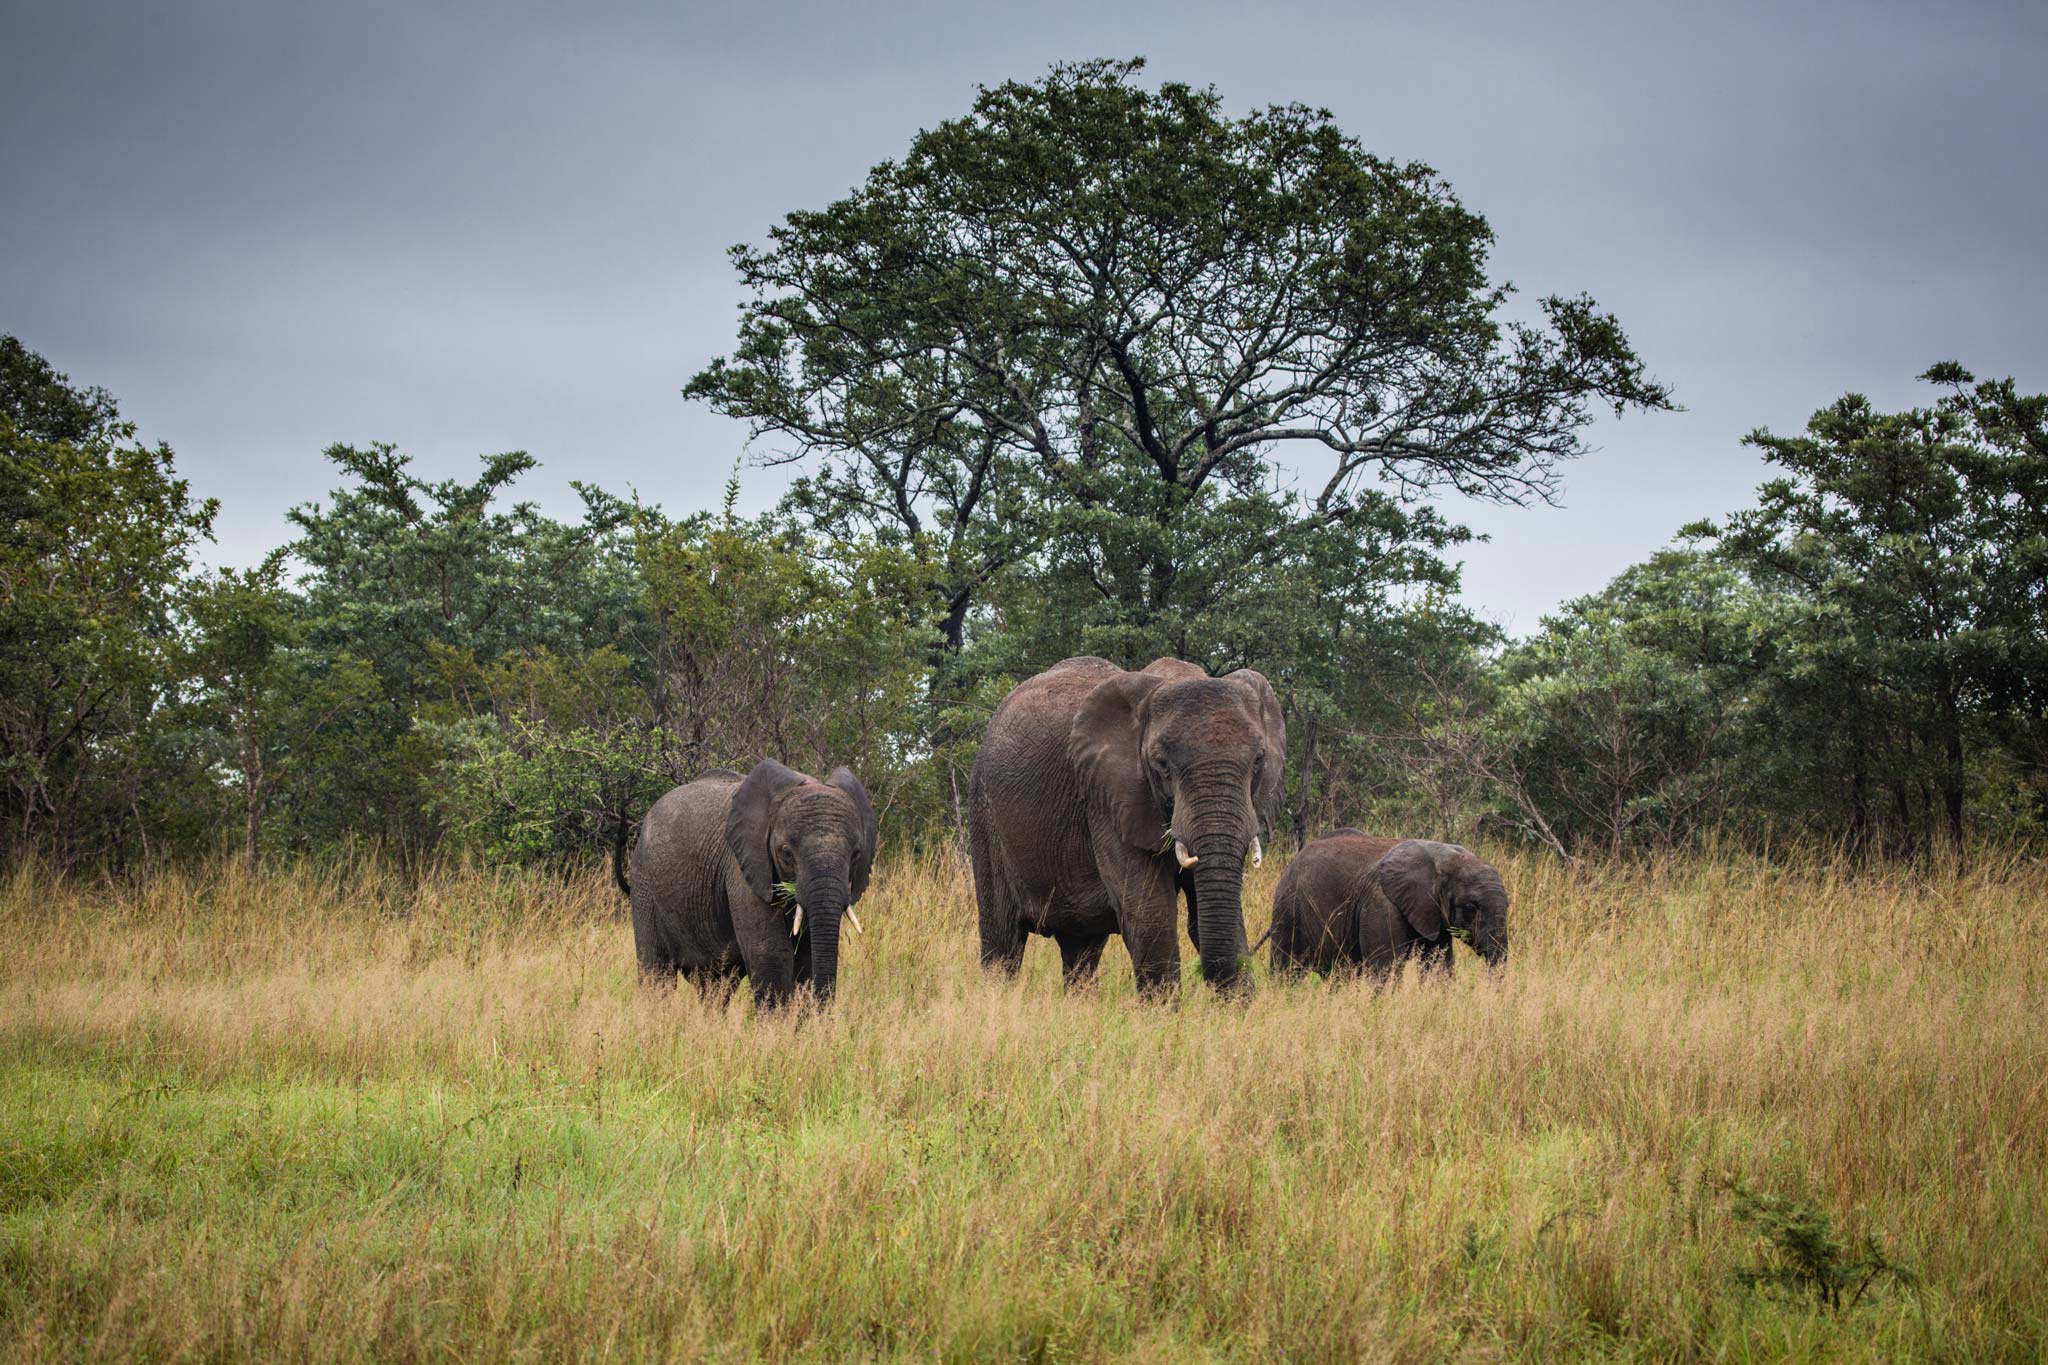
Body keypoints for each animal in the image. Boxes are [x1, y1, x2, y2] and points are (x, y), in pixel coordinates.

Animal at [622, 765, 880, 1010]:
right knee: (656, 971)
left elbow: (806, 954)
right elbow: (770, 952)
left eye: (856, 854)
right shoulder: (741, 867)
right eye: (786, 853)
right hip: (643, 882)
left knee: (716, 985)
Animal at [970, 658, 1277, 994]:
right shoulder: (1106, 799)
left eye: (1259, 760)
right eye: (1162, 765)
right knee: (1003, 939)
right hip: (985, 814)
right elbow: (1150, 911)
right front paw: (1164, 1007)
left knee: (1080, 949)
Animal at [1269, 826, 1515, 978]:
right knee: (1286, 971)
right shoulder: (1381, 903)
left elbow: (1438, 969)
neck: (1442, 856)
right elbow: (1385, 970)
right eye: (1471, 907)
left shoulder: (1433, 913)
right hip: (1288, 909)